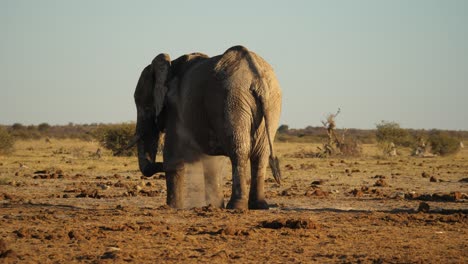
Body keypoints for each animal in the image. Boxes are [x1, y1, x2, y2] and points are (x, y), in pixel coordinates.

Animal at [133, 46, 284, 210]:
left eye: (145, 107)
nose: (158, 165)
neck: (168, 64)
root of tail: (256, 76)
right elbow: (213, 164)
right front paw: (215, 206)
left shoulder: (175, 108)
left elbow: (173, 156)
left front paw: (173, 208)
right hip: (271, 103)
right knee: (261, 153)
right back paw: (259, 205)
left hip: (232, 100)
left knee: (239, 150)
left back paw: (236, 206)